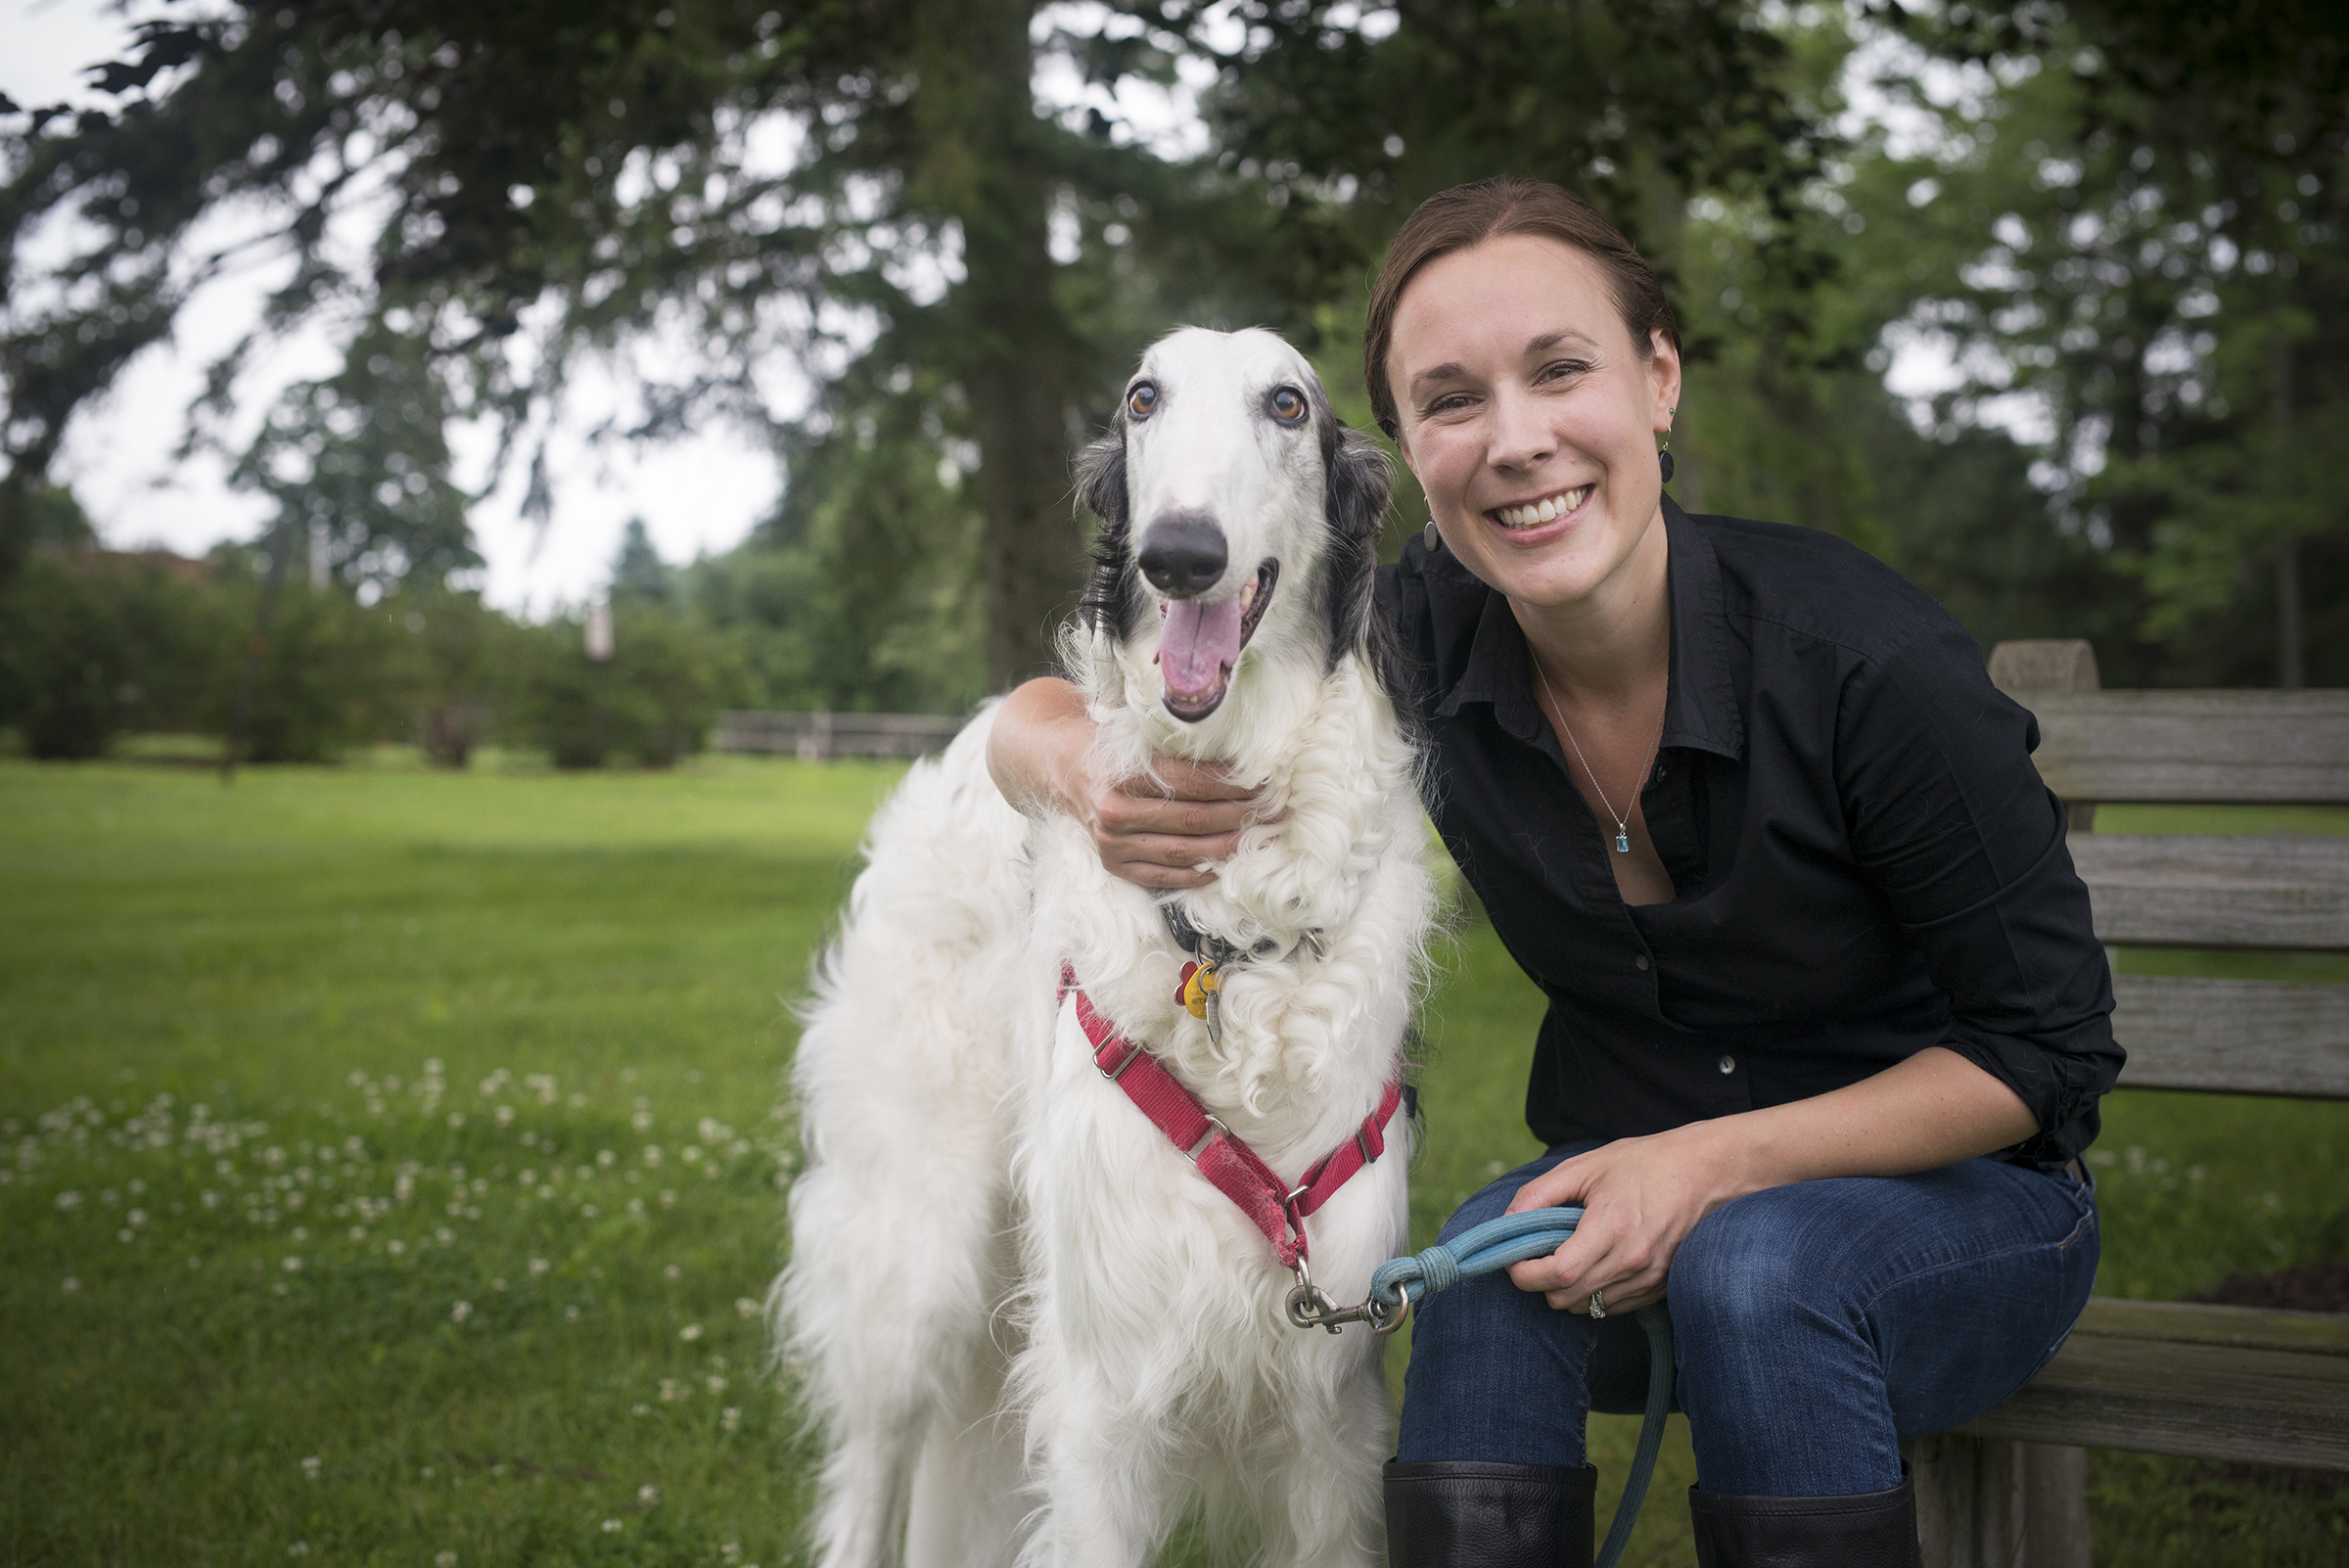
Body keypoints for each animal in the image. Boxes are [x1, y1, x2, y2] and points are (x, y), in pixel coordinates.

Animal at [779, 323, 1428, 1558]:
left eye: (1286, 402)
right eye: (1142, 399)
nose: (1180, 554)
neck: (1227, 944)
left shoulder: (1333, 1413)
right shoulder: (1106, 1404)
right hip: (915, 1263)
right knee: (869, 1477)